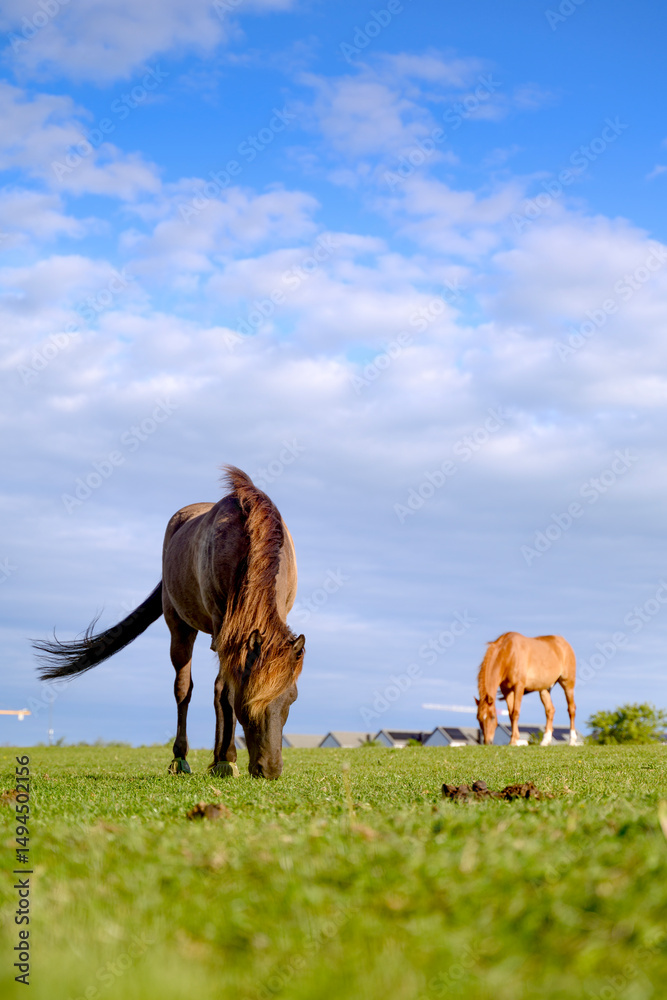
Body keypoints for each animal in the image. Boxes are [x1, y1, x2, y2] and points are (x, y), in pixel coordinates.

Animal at [33, 466, 305, 779]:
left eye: (292, 698)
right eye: (247, 701)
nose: (269, 770)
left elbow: (222, 692)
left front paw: (223, 759)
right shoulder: (223, 629)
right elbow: (225, 694)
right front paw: (226, 760)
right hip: (180, 627)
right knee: (183, 689)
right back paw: (180, 759)